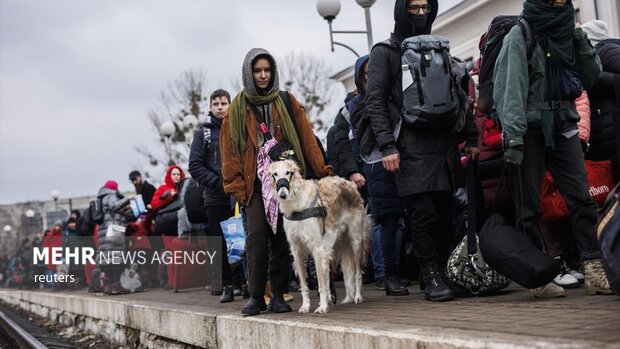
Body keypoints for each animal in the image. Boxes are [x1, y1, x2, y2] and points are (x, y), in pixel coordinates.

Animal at [266, 160, 368, 312]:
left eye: (288, 172)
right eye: (275, 174)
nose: (282, 194)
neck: (297, 206)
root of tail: (350, 184)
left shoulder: (317, 248)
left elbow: (320, 284)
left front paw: (322, 307)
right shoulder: (297, 251)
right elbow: (305, 285)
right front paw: (305, 306)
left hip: (355, 241)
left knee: (357, 274)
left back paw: (357, 297)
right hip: (332, 244)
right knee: (328, 274)